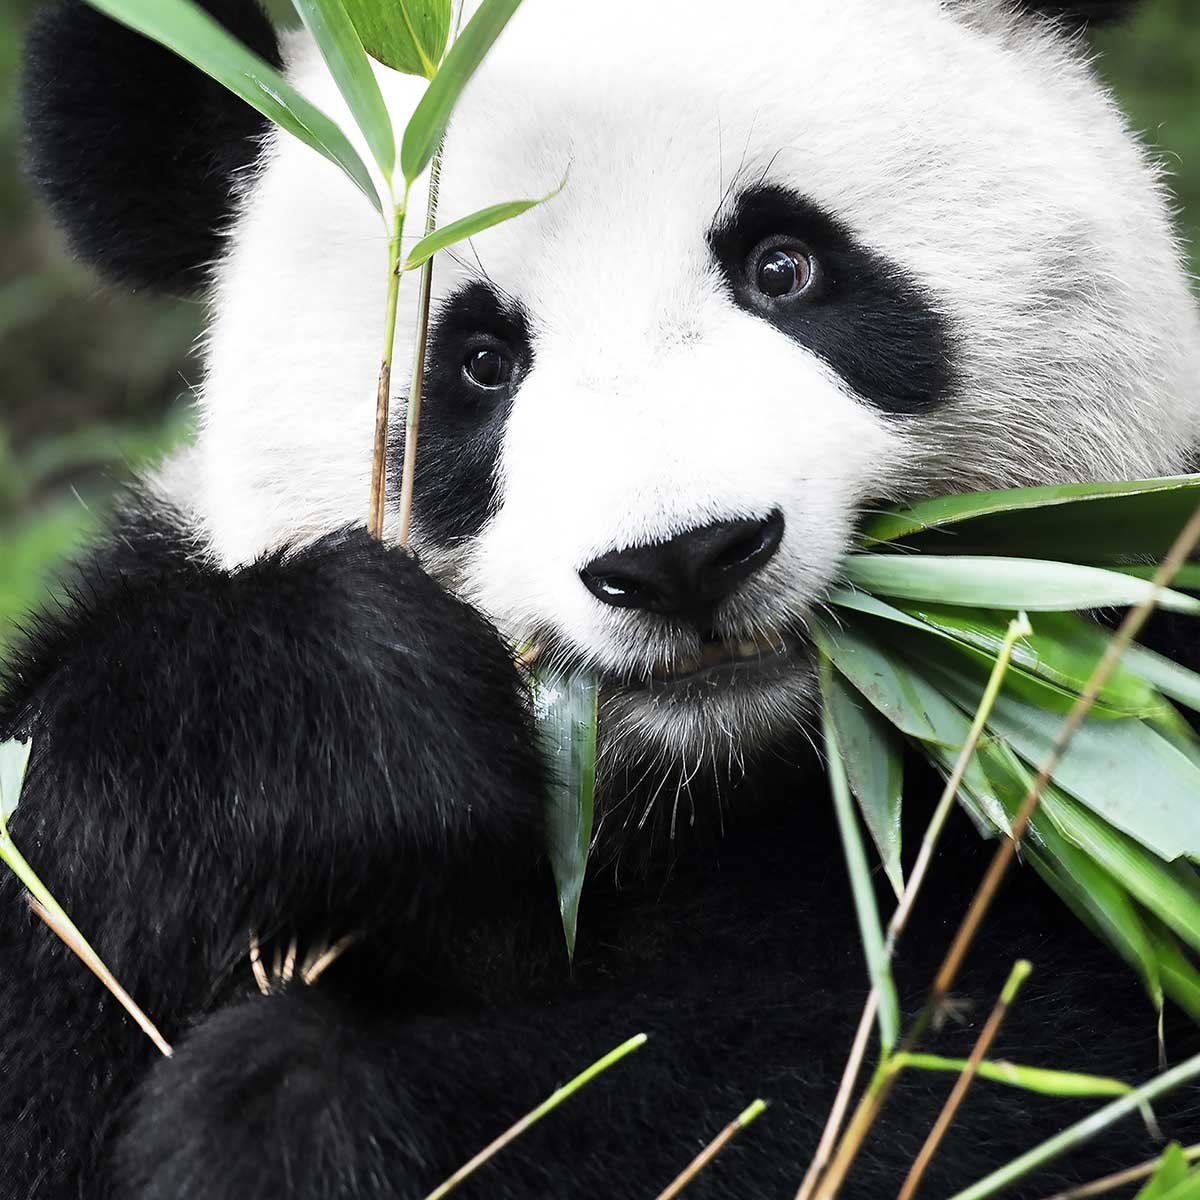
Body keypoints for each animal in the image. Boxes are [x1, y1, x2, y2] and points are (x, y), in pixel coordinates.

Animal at [4, 0, 1200, 1195]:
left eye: (783, 265)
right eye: (480, 360)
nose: (684, 558)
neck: (706, 784)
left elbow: (964, 1070)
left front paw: (296, 1111)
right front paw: (339, 713)